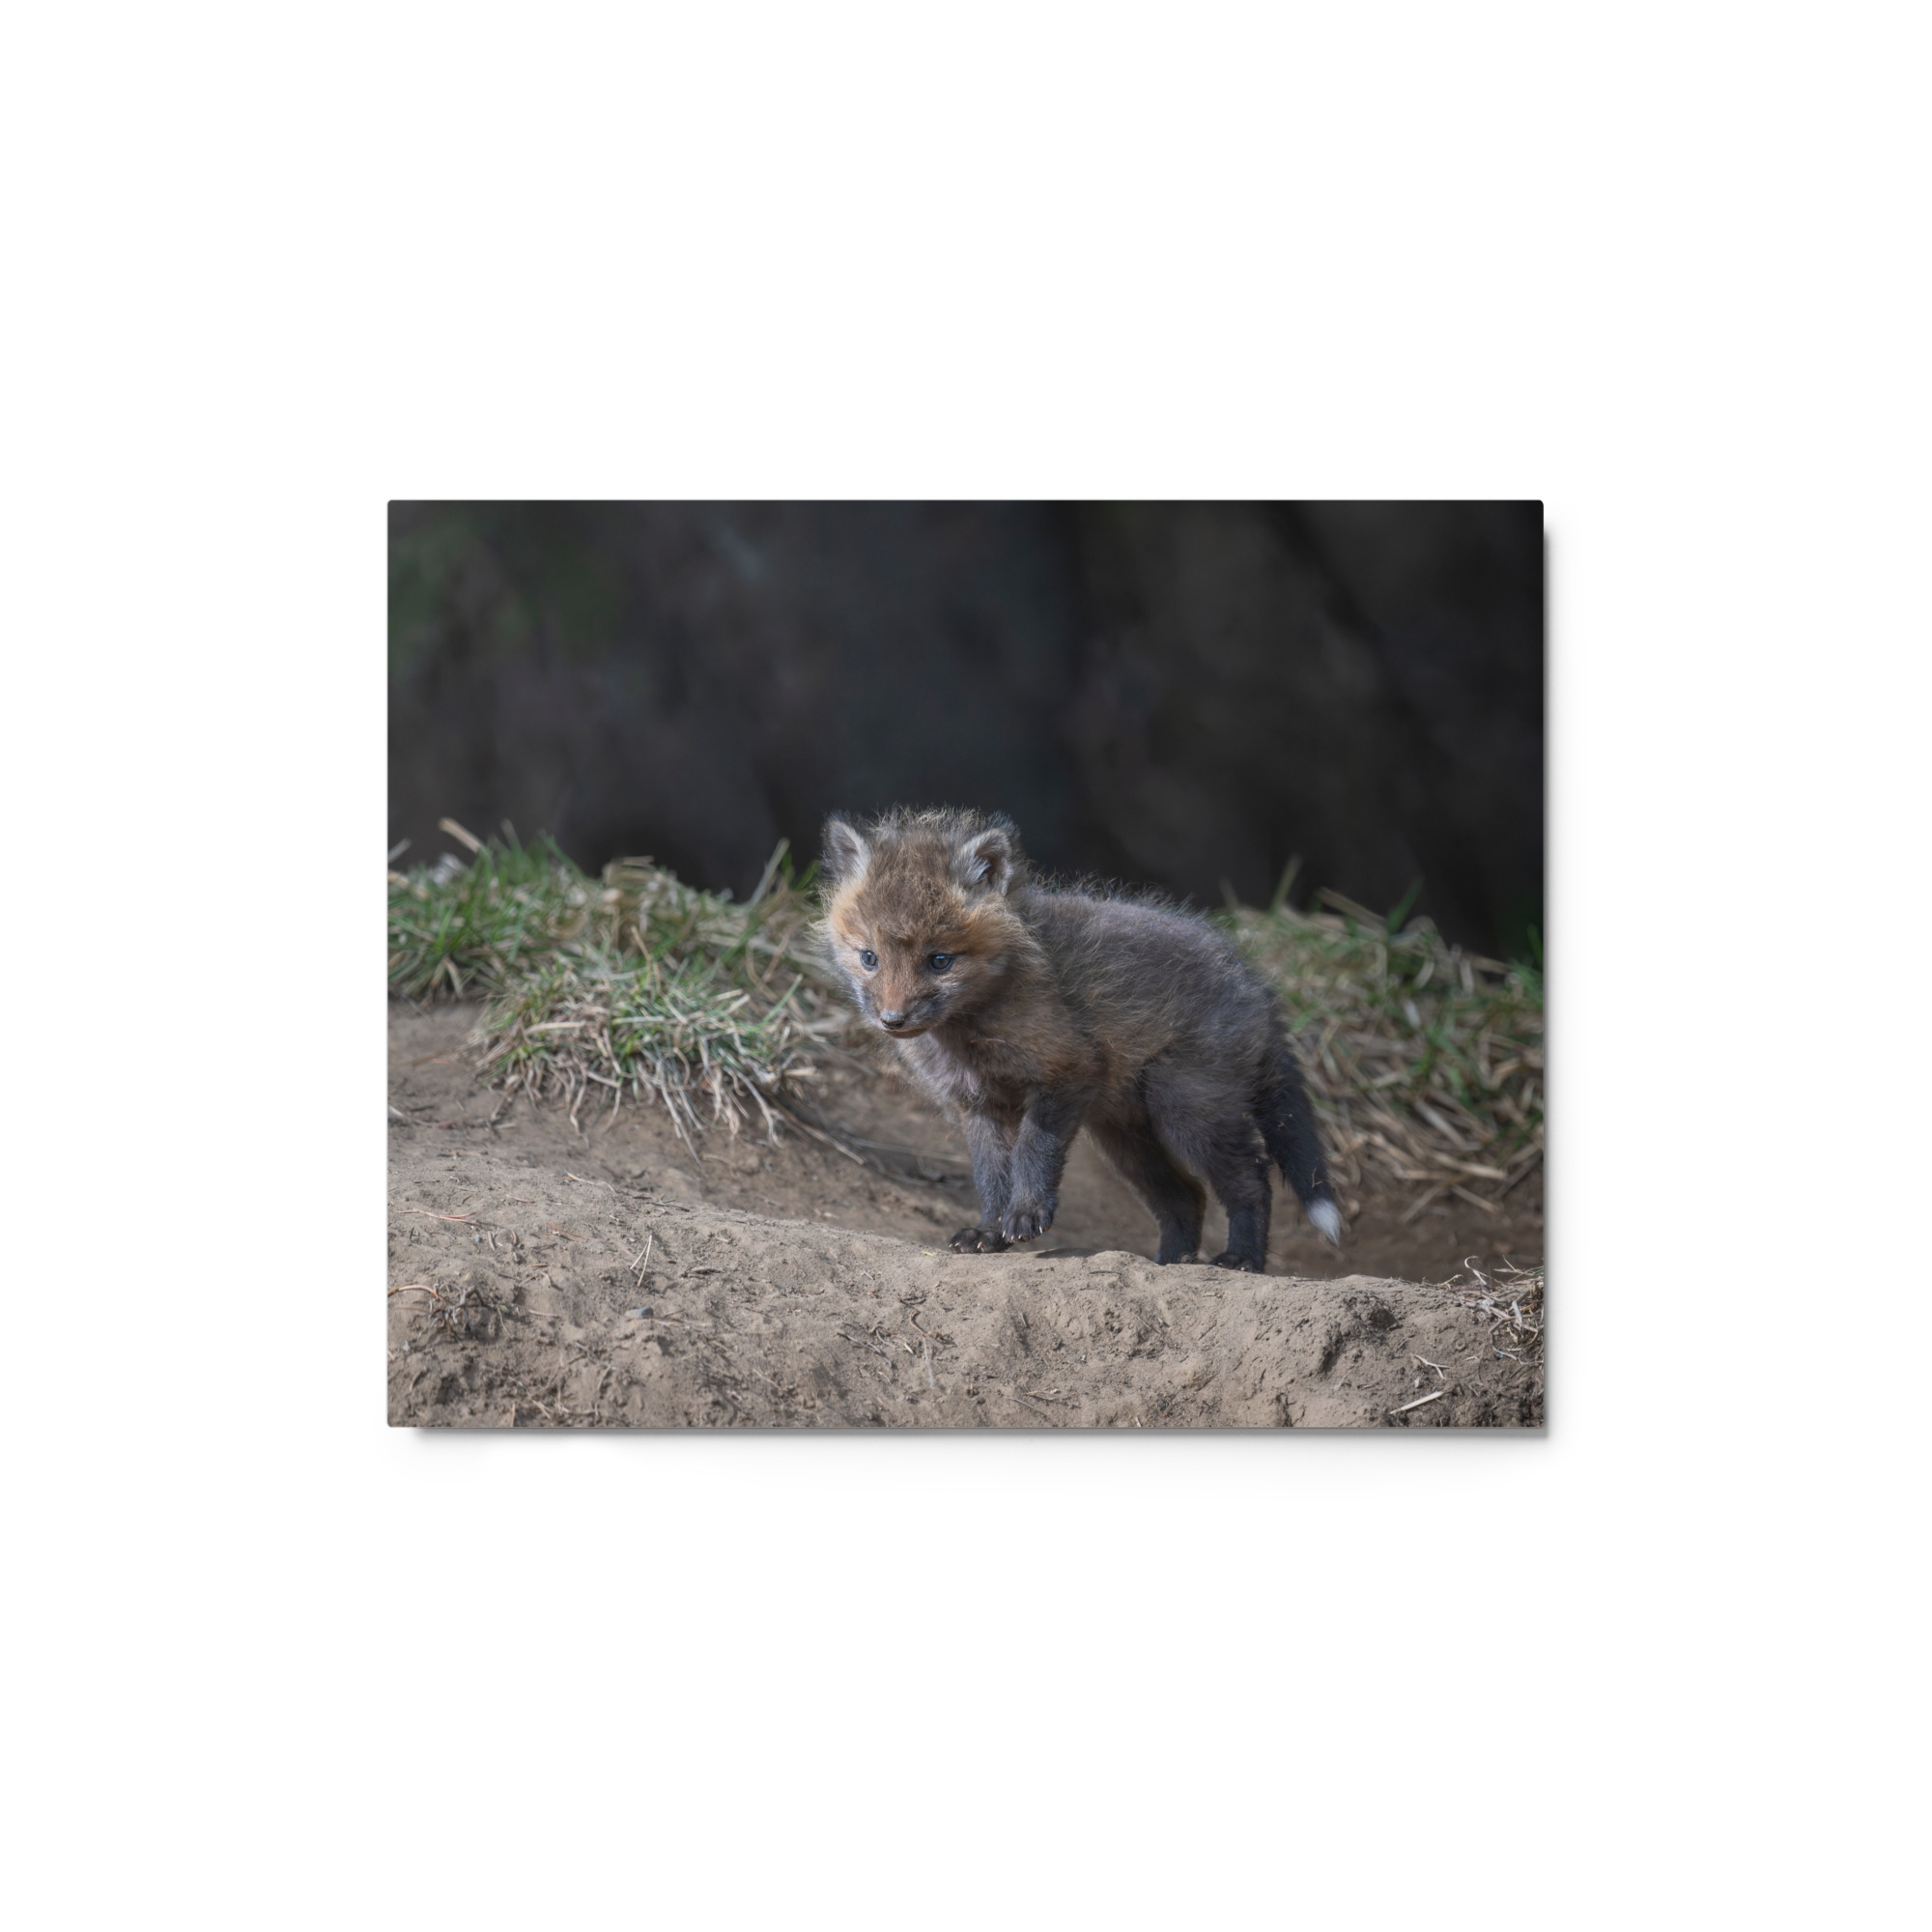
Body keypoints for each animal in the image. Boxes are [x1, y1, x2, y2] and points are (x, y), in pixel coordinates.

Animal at [818, 806, 1342, 1271]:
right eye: (869, 958)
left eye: (939, 961)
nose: (892, 1019)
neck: (971, 1035)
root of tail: (1257, 986)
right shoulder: (978, 1105)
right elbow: (990, 1176)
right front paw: (989, 1231)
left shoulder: (1065, 1071)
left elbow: (1033, 1152)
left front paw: (1026, 1215)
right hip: (1126, 1137)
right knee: (1186, 1197)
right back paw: (1171, 1263)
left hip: (1187, 1111)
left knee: (1252, 1181)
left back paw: (1242, 1259)